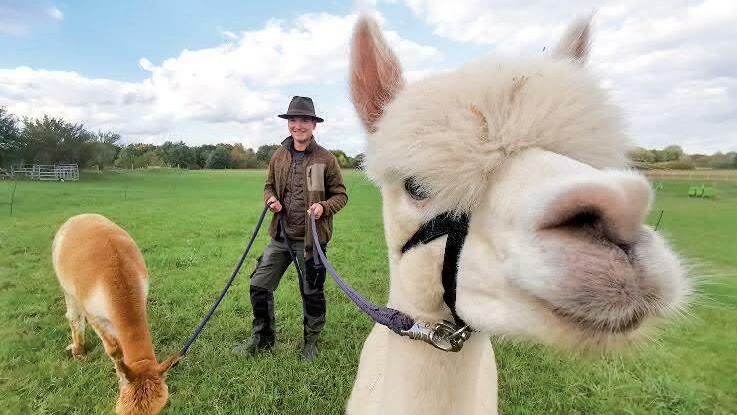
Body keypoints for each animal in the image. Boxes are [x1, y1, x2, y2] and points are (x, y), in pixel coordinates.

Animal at [53, 214, 178, 415]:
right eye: (122, 412)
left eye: (158, 410)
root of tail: (82, 216)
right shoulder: (93, 313)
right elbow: (113, 349)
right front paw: (119, 373)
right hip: (67, 286)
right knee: (74, 316)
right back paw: (77, 350)